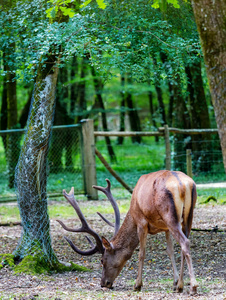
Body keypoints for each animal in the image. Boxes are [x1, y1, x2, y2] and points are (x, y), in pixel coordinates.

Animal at [57, 170, 198, 294]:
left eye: (102, 260)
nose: (104, 283)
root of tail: (182, 185)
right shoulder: (165, 227)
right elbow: (170, 251)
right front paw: (174, 283)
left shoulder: (141, 221)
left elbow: (141, 253)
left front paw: (137, 285)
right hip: (187, 216)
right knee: (184, 245)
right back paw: (181, 286)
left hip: (169, 215)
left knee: (185, 242)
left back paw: (192, 287)